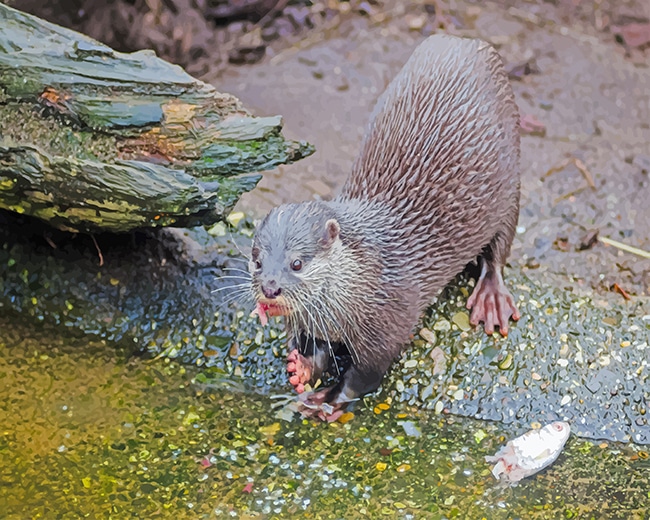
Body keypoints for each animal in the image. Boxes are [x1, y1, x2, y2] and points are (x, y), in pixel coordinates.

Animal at [248, 34, 521, 421]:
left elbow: (364, 377)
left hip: (511, 185)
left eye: (297, 263)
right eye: (257, 261)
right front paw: (301, 368)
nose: (270, 288)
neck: (366, 281)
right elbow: (319, 351)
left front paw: (327, 400)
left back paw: (491, 298)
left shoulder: (388, 325)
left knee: (498, 251)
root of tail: (464, 40)